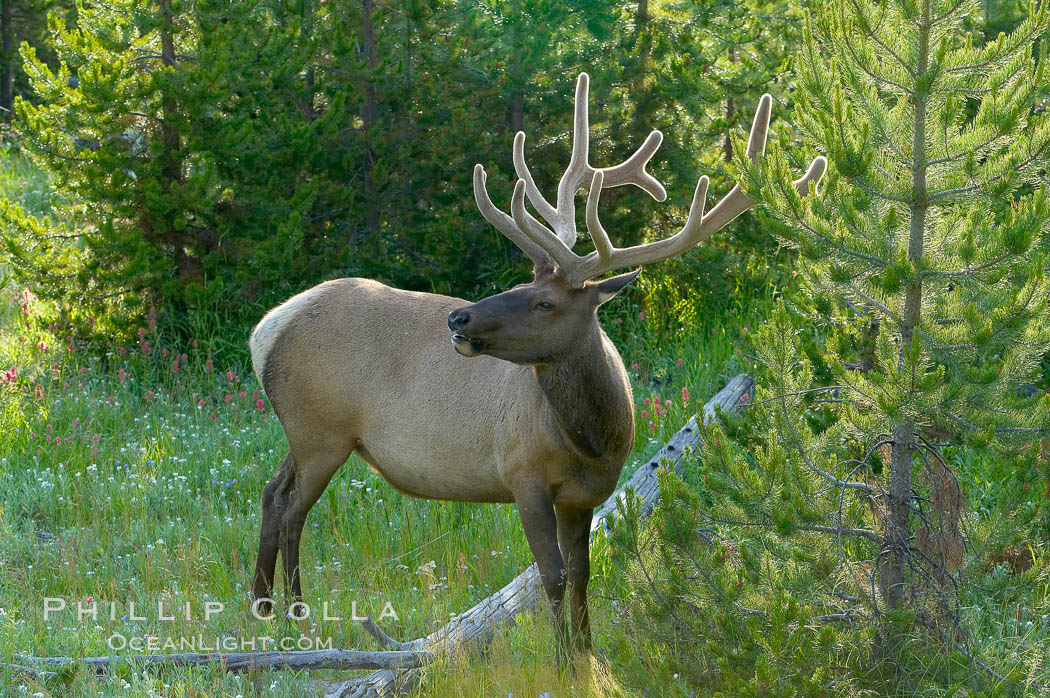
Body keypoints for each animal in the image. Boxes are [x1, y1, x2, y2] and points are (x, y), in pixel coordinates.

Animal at [249, 73, 823, 654]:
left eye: (543, 300)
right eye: (525, 281)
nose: (458, 317)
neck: (591, 441)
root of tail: (265, 329)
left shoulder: (586, 494)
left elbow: (583, 573)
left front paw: (588, 652)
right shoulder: (521, 471)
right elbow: (551, 574)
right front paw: (564, 656)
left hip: (307, 434)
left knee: (272, 493)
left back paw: (263, 609)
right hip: (321, 431)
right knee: (293, 509)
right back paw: (296, 617)